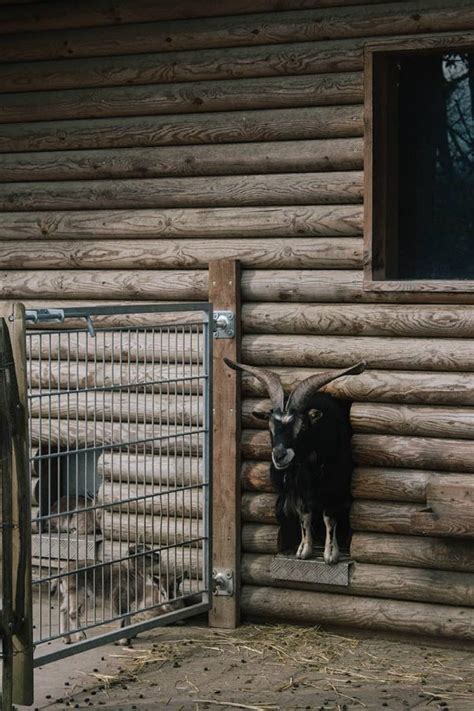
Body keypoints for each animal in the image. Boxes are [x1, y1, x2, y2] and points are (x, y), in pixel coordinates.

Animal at [224, 358, 364, 564]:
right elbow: (304, 516)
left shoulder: (333, 486)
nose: (279, 455)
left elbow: (329, 517)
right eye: (270, 427)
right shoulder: (298, 489)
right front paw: (303, 550)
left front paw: (331, 554)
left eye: (303, 425)